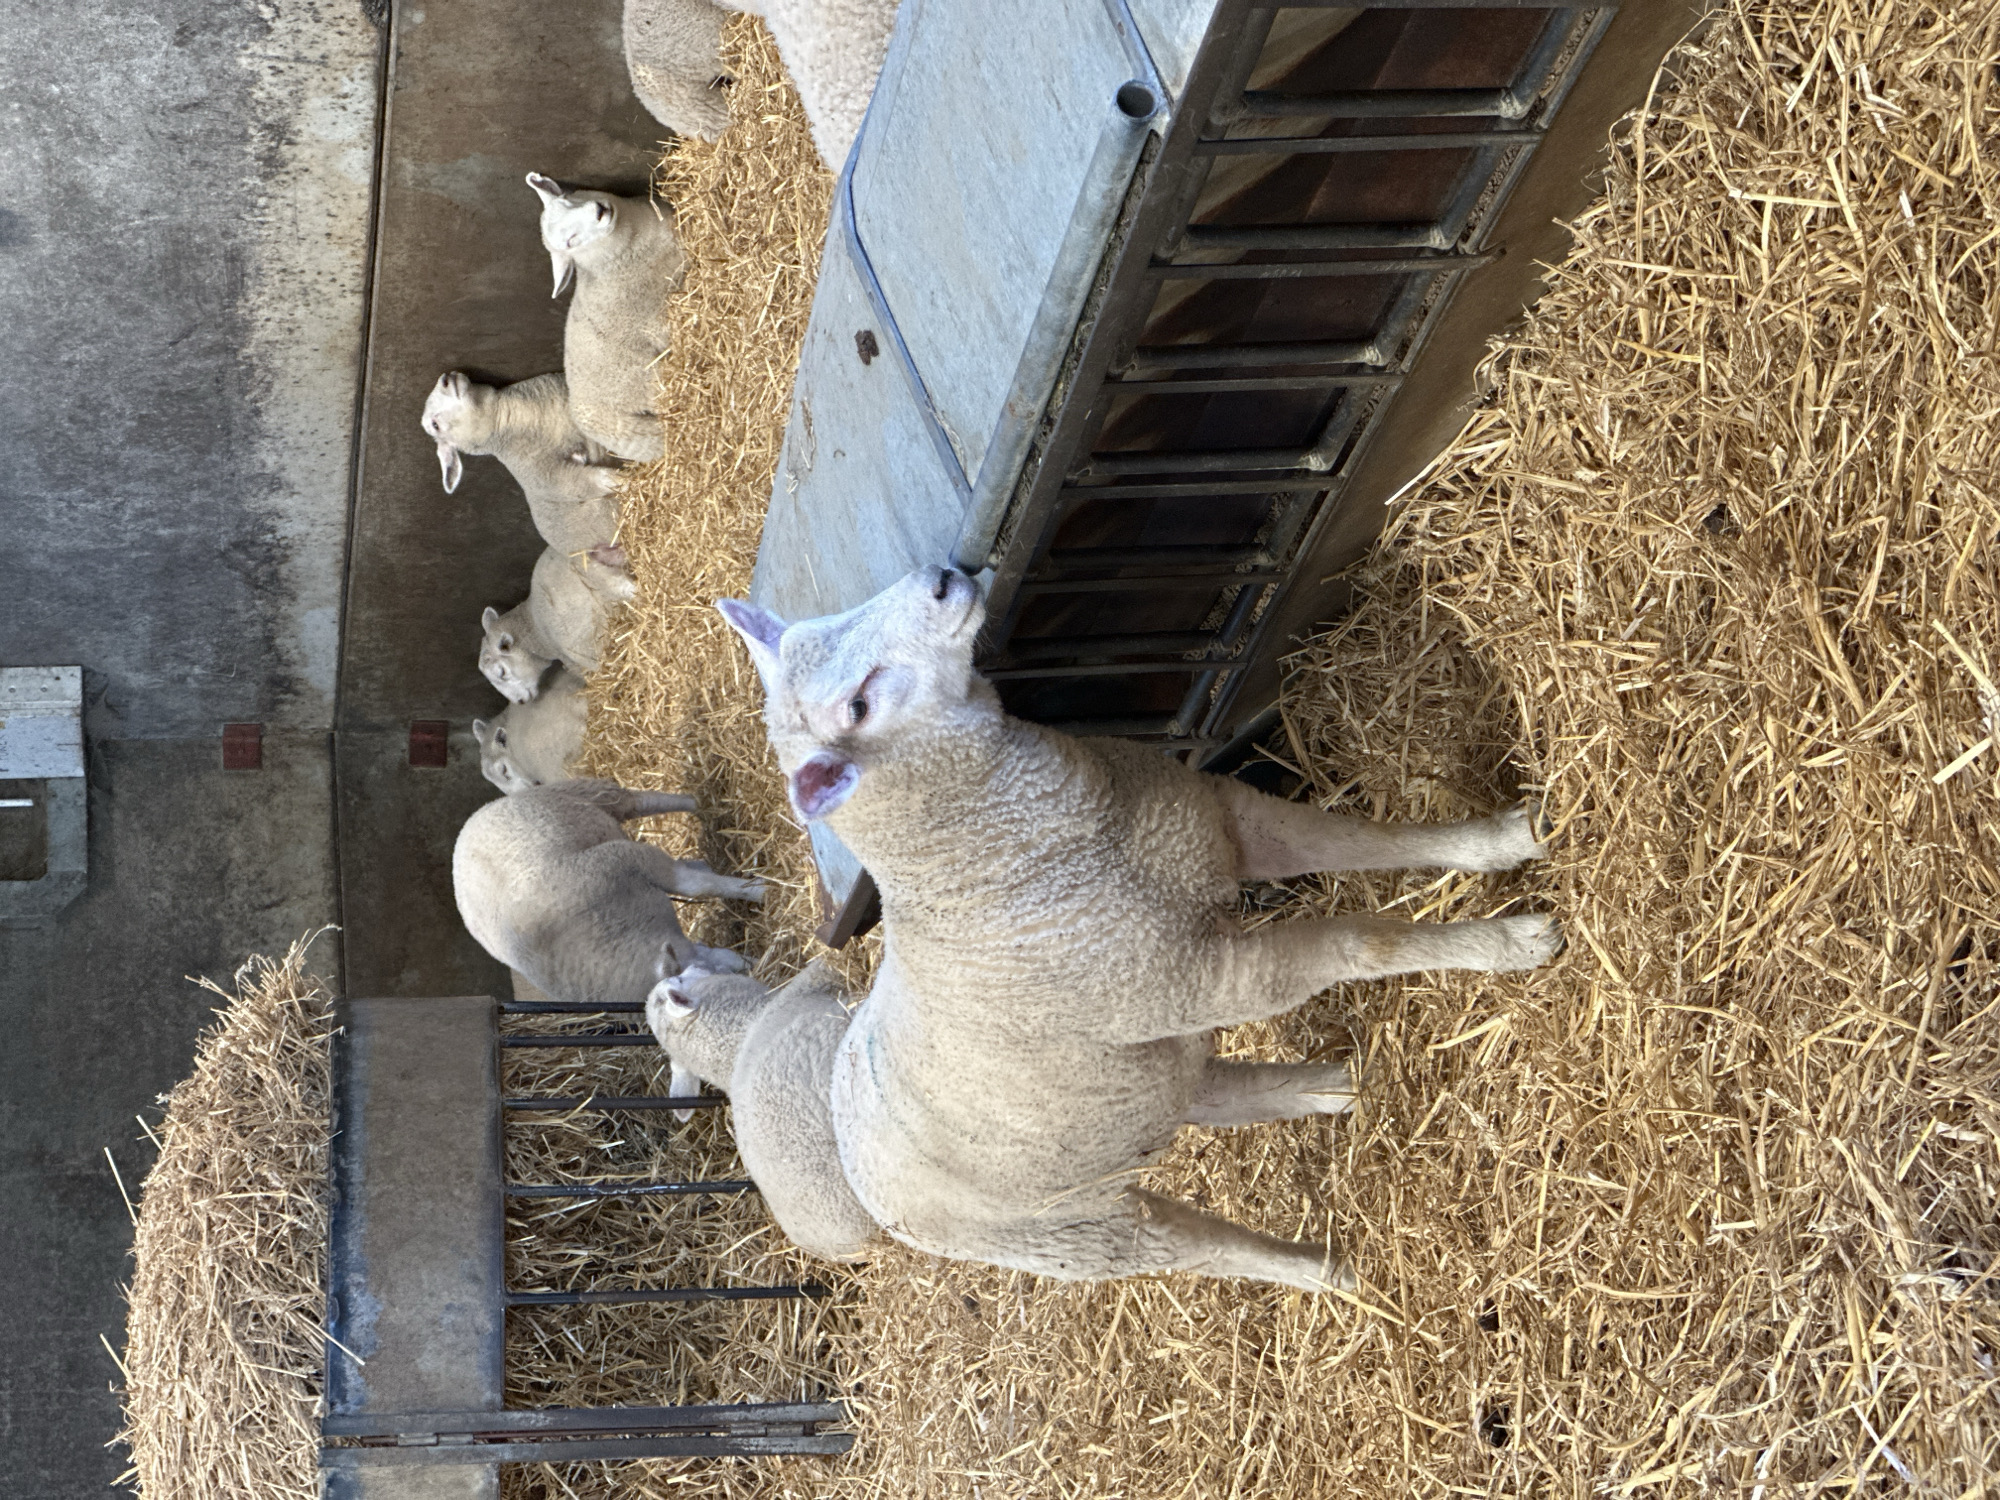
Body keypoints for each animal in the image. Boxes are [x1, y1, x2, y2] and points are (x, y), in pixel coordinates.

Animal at [421, 370, 625, 572]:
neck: (508, 418)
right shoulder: (542, 474)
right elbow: (582, 482)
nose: (446, 379)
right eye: (435, 425)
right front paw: (621, 481)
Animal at [454, 779, 765, 1098]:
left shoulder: (631, 859)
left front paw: (759, 890)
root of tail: (465, 832)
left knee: (641, 802)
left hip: (586, 795)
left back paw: (697, 804)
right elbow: (716, 942)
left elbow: (697, 886)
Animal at [718, 566, 1561, 1293]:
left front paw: (1503, 840)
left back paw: (1328, 1089)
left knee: (1210, 1091)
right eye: (857, 706)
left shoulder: (1223, 825)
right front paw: (1512, 943)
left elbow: (1361, 841)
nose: (943, 577)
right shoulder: (1202, 977)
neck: (1001, 853)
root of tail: (855, 1168)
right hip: (1074, 1230)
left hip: (1122, 1095)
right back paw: (1332, 1272)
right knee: (1197, 1249)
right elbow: (1361, 943)